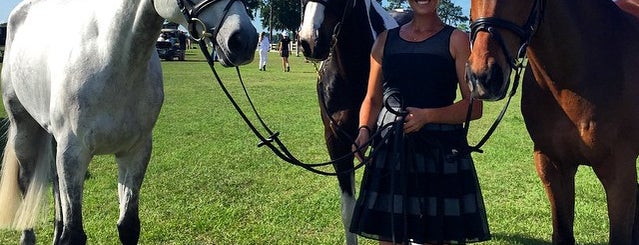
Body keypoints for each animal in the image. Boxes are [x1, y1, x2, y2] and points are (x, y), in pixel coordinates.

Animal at [0, 0, 258, 242]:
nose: (243, 40)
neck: (109, 58)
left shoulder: (135, 152)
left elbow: (128, 226)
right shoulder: (73, 153)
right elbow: (73, 234)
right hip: (24, 129)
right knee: (26, 184)